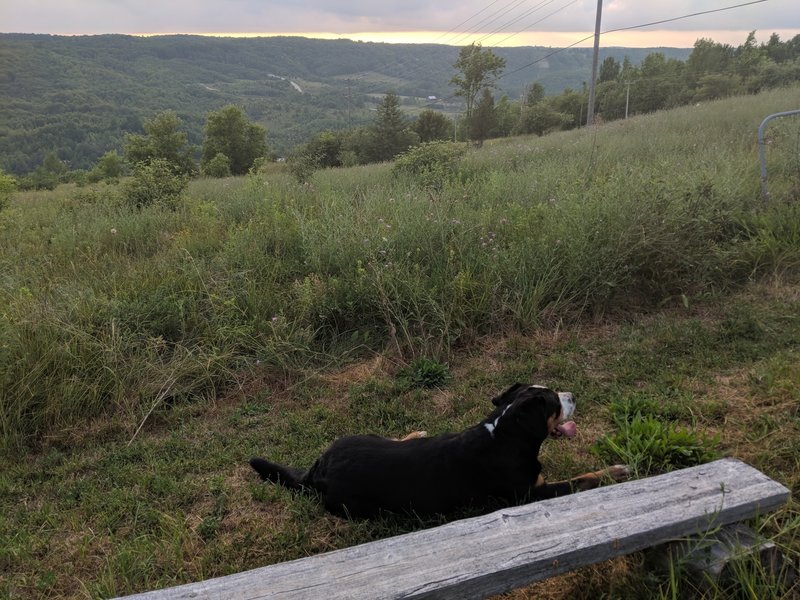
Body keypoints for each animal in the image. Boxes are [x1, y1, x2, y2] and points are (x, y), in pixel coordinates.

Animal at [247, 386, 628, 516]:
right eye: (553, 403)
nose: (574, 395)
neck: (505, 436)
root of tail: (318, 469)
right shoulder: (531, 495)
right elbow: (582, 478)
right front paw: (616, 470)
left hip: (357, 436)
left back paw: (415, 433)